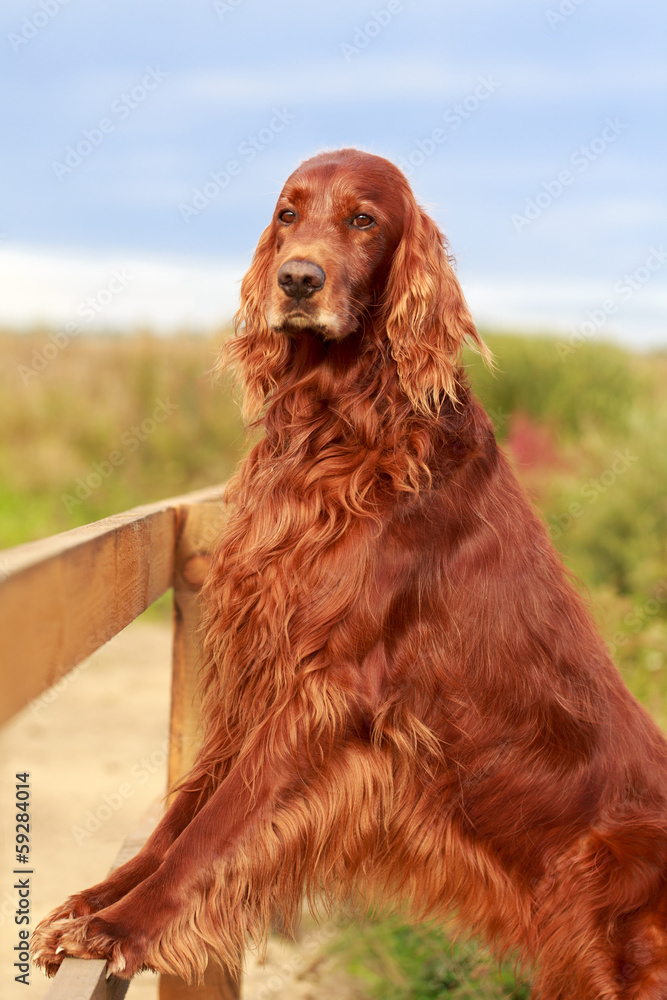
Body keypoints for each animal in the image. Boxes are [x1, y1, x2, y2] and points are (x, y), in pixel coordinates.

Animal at [32, 148, 667, 1000]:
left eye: (363, 219)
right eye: (287, 213)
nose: (297, 280)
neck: (337, 430)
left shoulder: (329, 686)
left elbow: (218, 823)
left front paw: (125, 926)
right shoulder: (259, 659)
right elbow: (182, 813)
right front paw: (98, 898)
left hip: (601, 885)